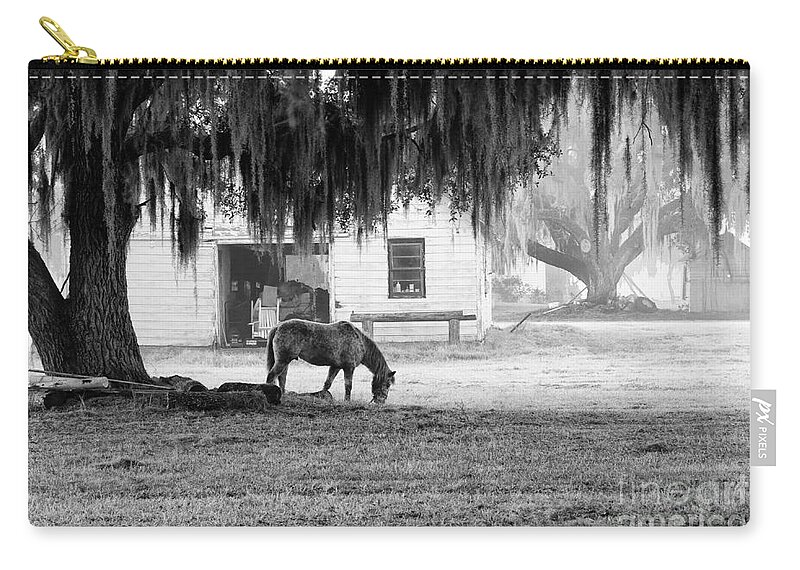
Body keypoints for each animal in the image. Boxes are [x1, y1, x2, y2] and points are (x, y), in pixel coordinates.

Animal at [264, 318, 398, 402]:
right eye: (387, 384)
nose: (381, 401)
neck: (359, 341)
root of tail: (278, 326)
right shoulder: (349, 368)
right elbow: (348, 386)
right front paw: (347, 401)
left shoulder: (336, 366)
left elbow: (327, 384)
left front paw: (322, 396)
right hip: (283, 361)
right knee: (272, 376)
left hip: (285, 361)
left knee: (282, 378)